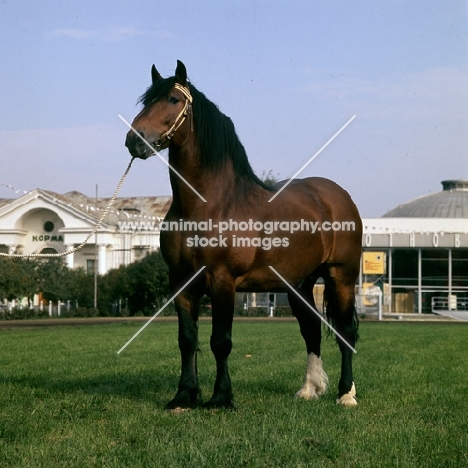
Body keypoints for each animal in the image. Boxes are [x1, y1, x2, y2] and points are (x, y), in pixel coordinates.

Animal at [124, 60, 362, 408]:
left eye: (173, 99)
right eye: (145, 101)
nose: (134, 140)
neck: (209, 204)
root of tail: (337, 195)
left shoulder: (223, 280)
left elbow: (220, 341)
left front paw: (221, 398)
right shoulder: (181, 283)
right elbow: (187, 340)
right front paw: (184, 396)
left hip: (340, 277)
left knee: (345, 331)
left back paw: (346, 394)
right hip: (300, 285)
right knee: (312, 331)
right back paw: (309, 389)